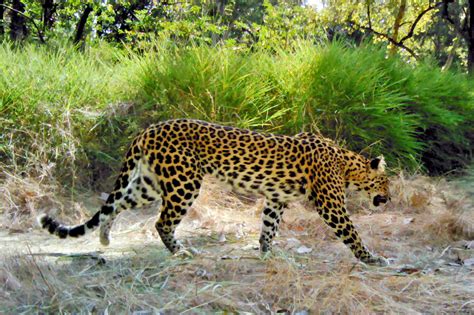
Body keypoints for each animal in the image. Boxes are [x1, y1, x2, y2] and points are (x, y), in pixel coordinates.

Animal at [39, 119, 388, 266]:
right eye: (386, 184)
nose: (388, 199)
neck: (347, 164)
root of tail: (148, 129)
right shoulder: (331, 204)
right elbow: (352, 233)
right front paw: (372, 258)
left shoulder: (276, 199)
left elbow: (268, 226)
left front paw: (266, 252)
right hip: (184, 182)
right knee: (161, 222)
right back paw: (180, 252)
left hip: (148, 184)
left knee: (116, 205)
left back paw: (105, 236)